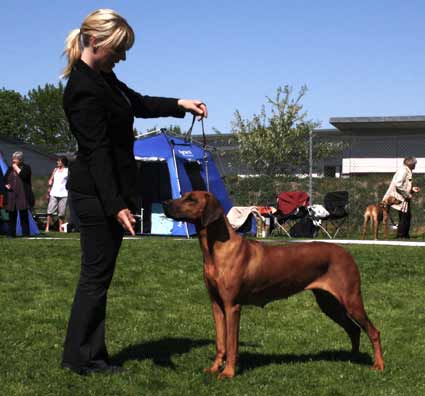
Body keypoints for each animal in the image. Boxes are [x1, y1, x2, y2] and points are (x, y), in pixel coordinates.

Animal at [162, 191, 384, 378]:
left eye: (191, 199)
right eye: (183, 195)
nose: (165, 203)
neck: (217, 249)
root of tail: (346, 253)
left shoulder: (232, 306)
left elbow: (232, 344)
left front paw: (228, 372)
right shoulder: (217, 305)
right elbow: (220, 343)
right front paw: (215, 368)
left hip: (351, 300)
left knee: (373, 331)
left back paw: (379, 365)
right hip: (329, 303)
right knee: (354, 329)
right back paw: (353, 358)